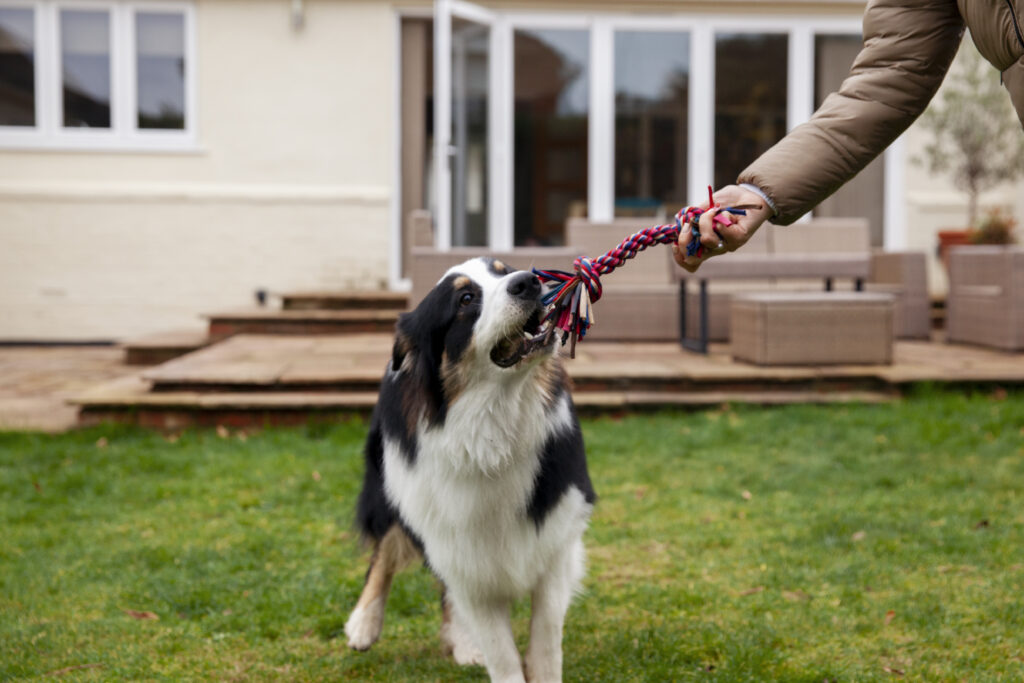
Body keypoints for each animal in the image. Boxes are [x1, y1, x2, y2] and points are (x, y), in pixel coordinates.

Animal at [346, 258, 598, 683]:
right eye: (465, 299)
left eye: (505, 270)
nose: (529, 282)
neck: (492, 429)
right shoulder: (457, 546)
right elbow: (501, 653)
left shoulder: (556, 539)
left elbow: (546, 637)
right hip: (393, 488)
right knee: (384, 549)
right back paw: (364, 623)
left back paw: (462, 642)